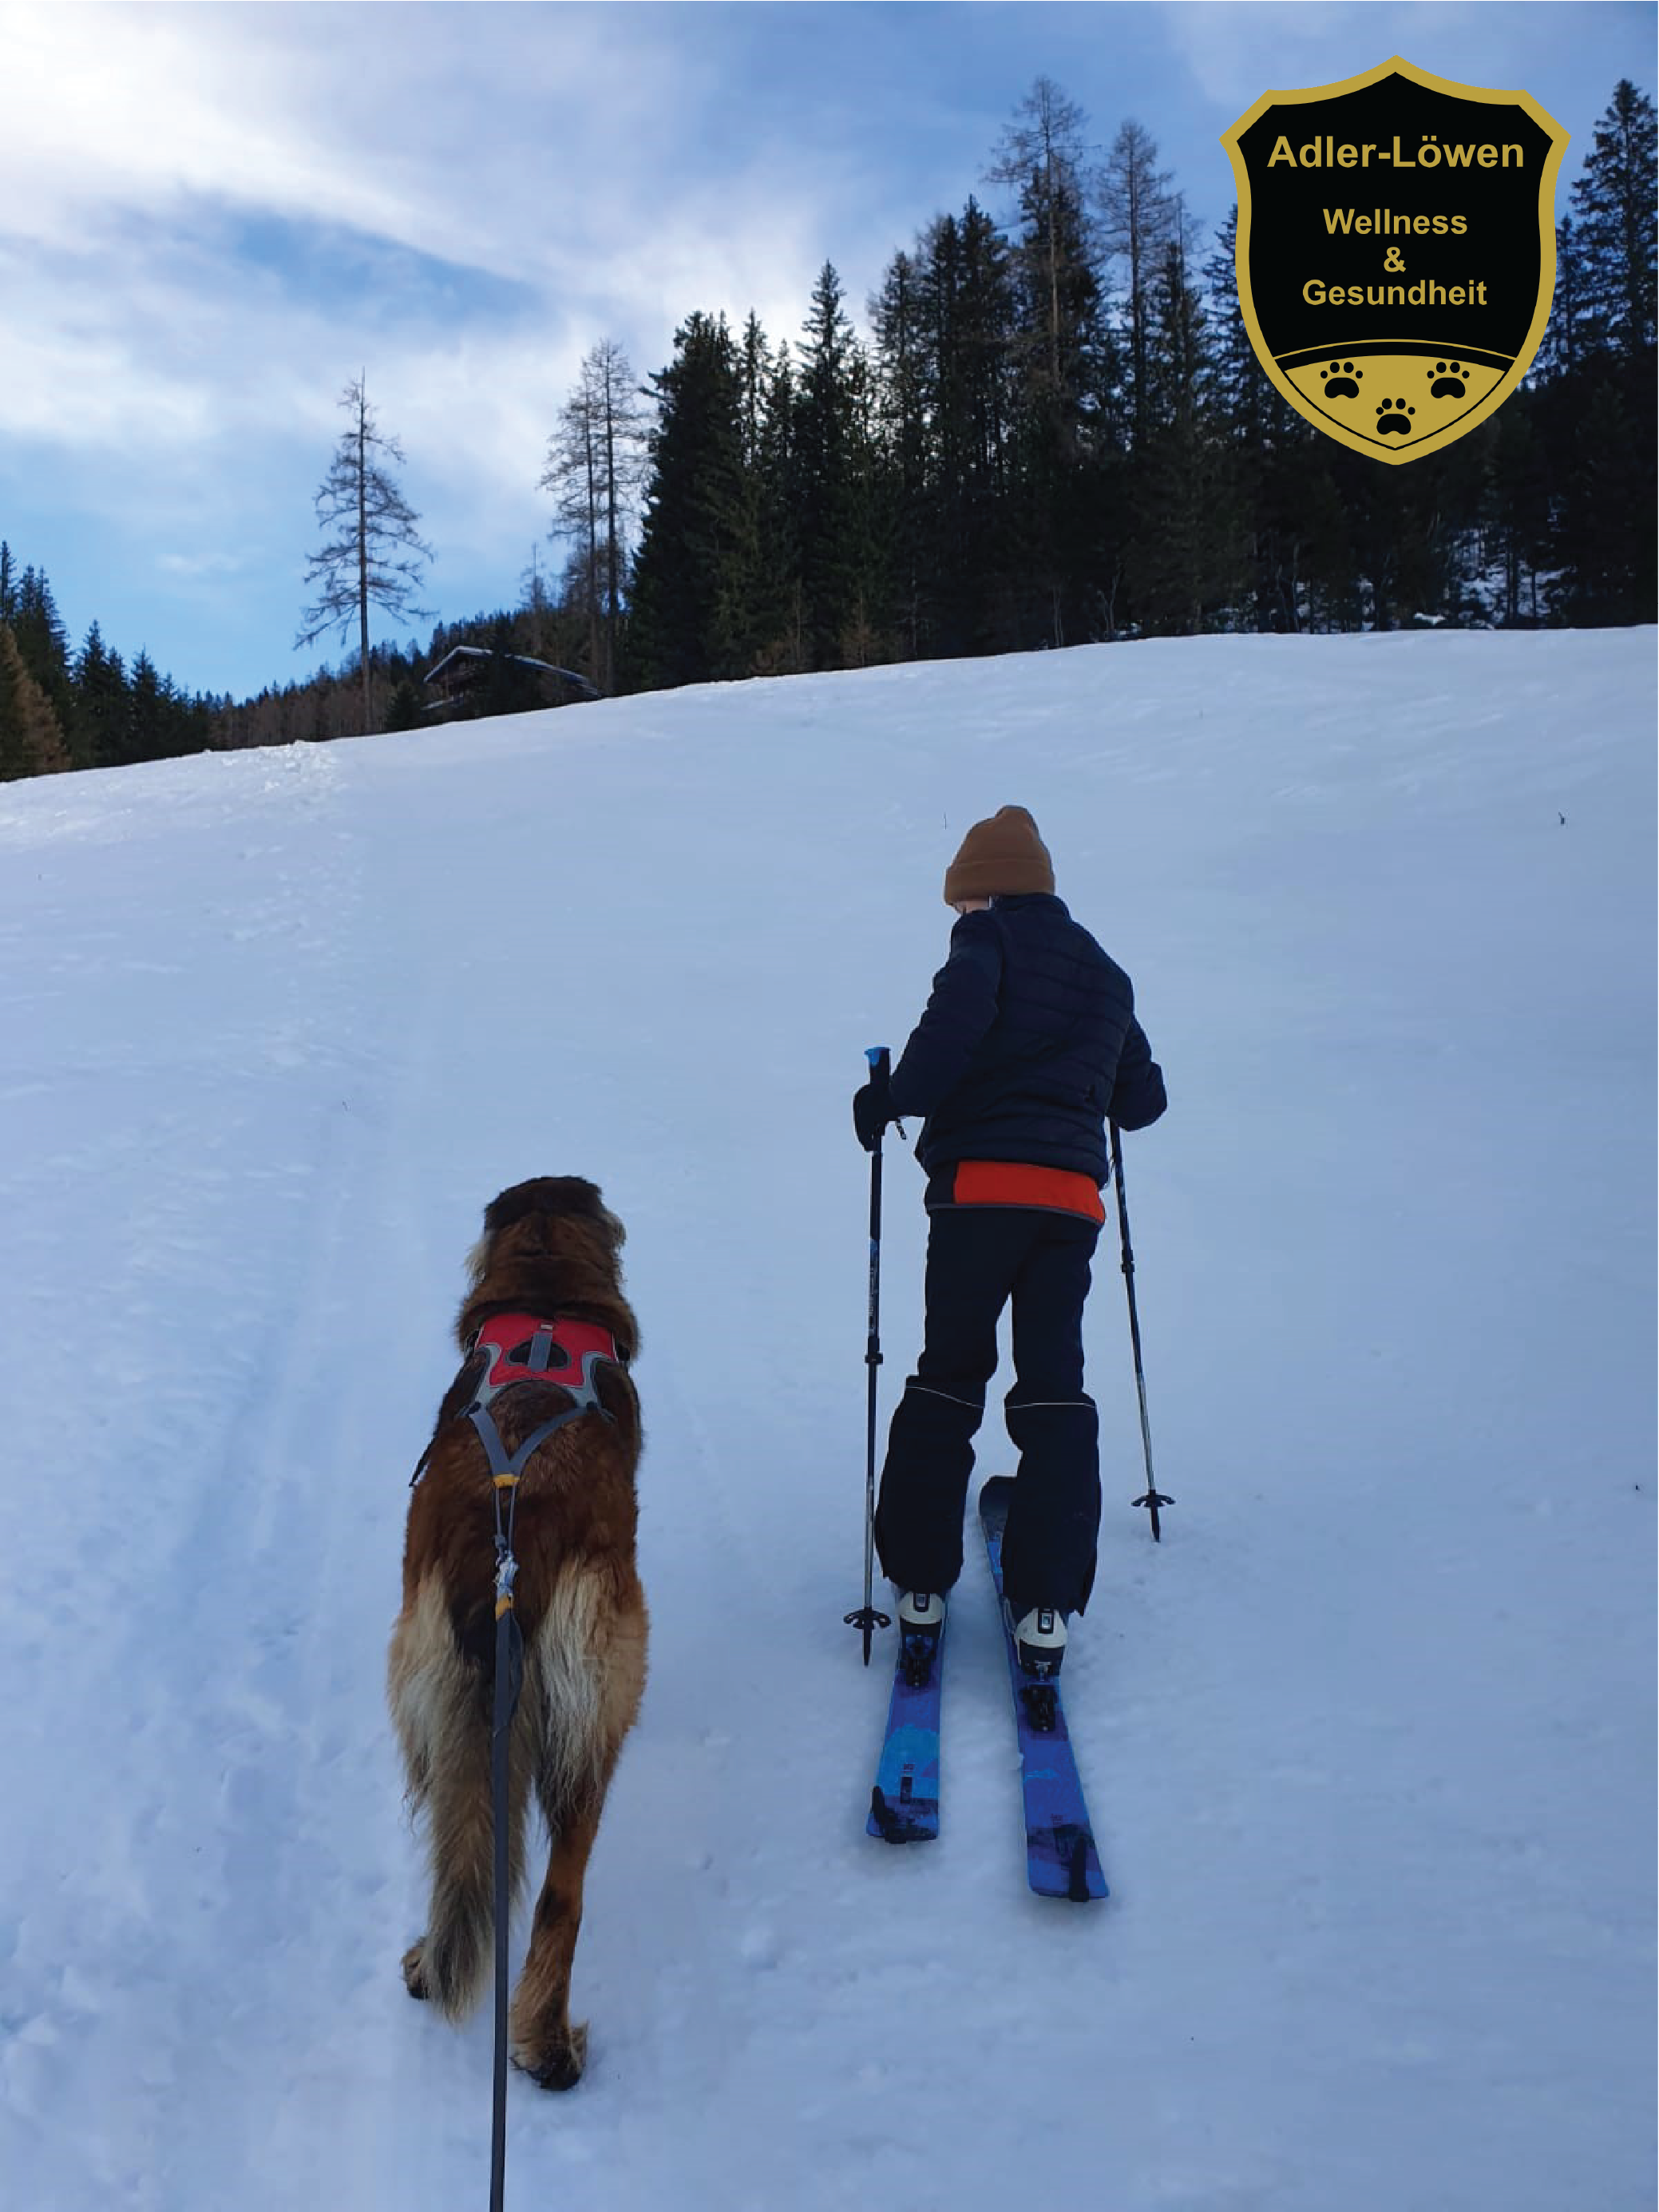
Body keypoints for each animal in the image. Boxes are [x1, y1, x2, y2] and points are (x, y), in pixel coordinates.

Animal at [388, 1176, 646, 2090]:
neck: (544, 1301)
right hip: (599, 1705)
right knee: (561, 1895)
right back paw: (547, 2044)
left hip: (430, 1688)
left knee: (463, 1845)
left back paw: (436, 1965)